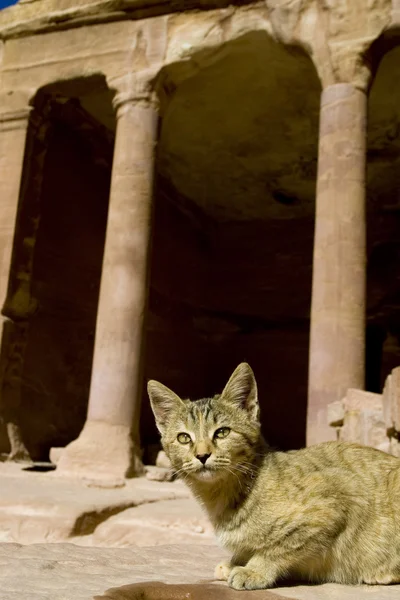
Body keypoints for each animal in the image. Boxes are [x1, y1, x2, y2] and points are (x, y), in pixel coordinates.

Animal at [148, 364, 400, 588]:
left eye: (222, 432)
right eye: (183, 438)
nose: (202, 455)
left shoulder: (336, 498)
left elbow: (279, 546)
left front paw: (253, 569)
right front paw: (235, 562)